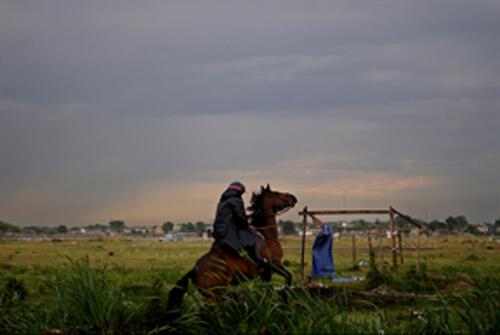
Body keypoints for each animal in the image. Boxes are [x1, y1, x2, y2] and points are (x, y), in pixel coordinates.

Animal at [167, 185, 296, 312]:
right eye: (276, 193)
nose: (293, 198)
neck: (267, 236)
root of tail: (194, 269)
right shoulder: (273, 265)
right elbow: (287, 278)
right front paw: (285, 296)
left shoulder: (268, 272)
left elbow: (271, 288)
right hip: (214, 295)